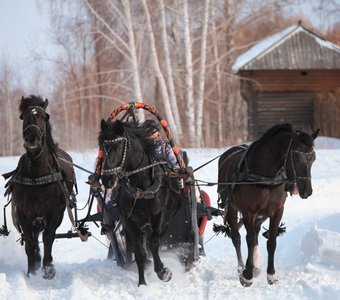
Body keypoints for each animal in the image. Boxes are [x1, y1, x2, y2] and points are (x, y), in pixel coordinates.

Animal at [3, 95, 76, 278]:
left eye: (45, 116)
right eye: (23, 116)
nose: (32, 139)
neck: (37, 175)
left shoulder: (53, 212)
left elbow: (49, 237)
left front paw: (48, 269)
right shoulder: (23, 213)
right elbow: (30, 241)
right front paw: (32, 270)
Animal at [97, 119, 182, 286]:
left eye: (118, 146)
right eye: (102, 147)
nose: (106, 179)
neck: (141, 186)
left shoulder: (160, 216)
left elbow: (154, 243)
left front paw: (163, 272)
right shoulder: (130, 221)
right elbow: (139, 253)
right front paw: (142, 283)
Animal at [215, 123, 318, 286]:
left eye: (313, 158)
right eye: (296, 157)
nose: (307, 191)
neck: (265, 176)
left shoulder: (277, 211)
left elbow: (271, 242)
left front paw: (271, 274)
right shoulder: (248, 211)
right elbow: (249, 240)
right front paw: (247, 274)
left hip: (260, 214)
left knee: (255, 232)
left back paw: (256, 264)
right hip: (231, 207)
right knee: (237, 237)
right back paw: (241, 267)